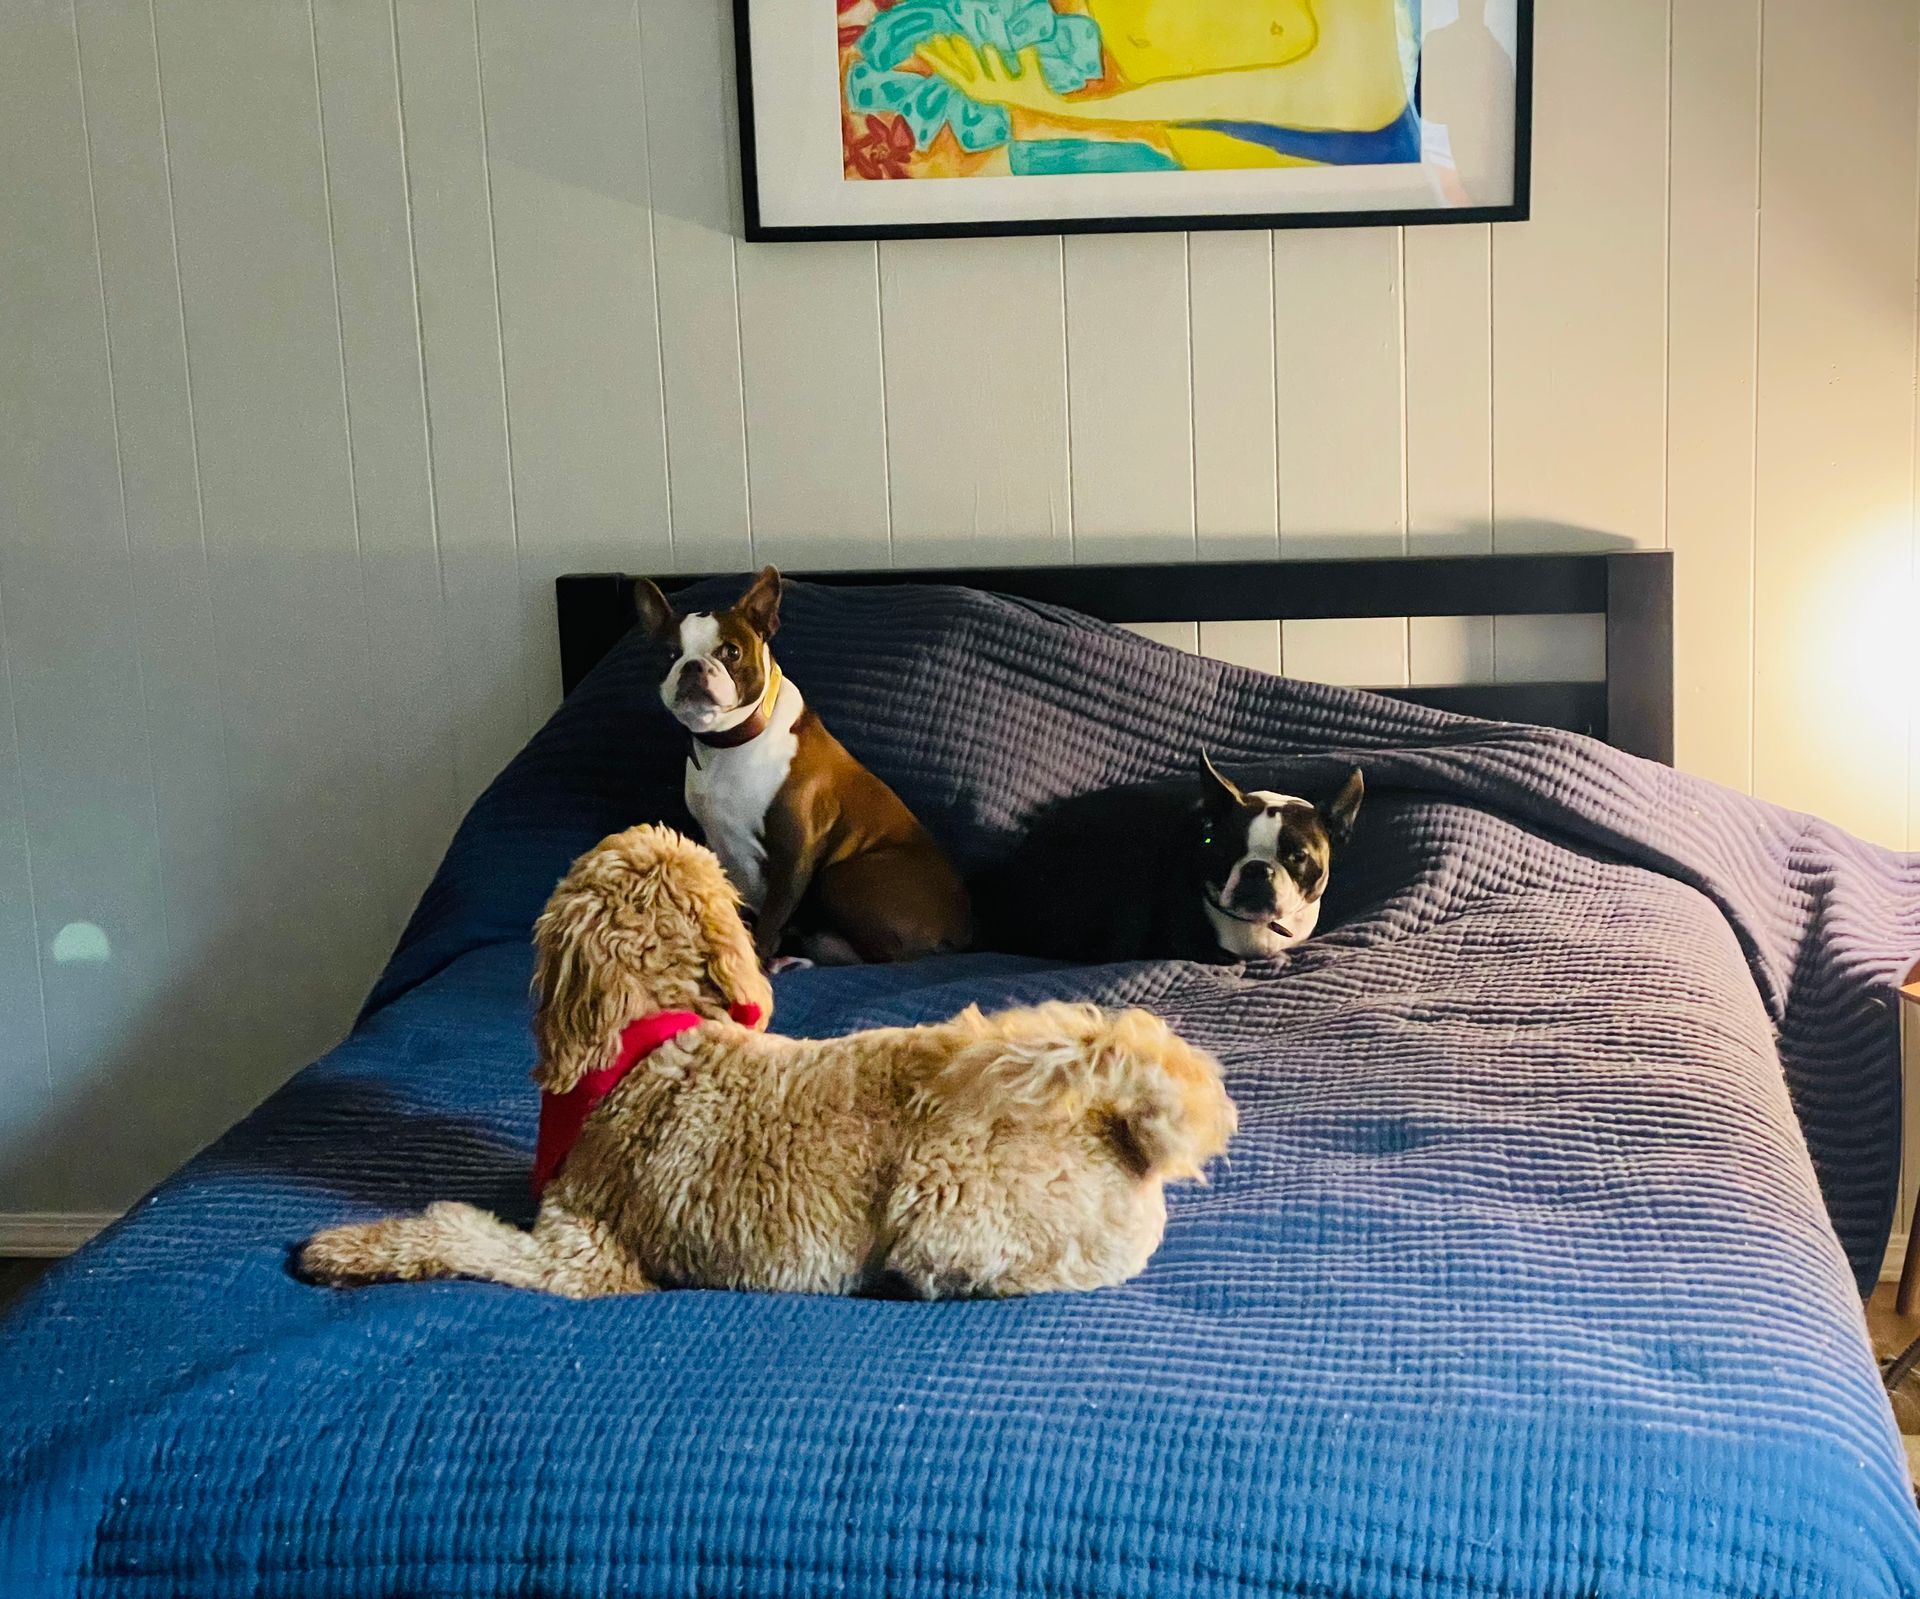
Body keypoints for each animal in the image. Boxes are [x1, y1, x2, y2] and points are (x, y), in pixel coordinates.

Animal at [299, 821, 1228, 1297]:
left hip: (941, 1210)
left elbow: (454, 1229)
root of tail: (1121, 1123)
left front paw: (348, 1247)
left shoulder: (582, 1257)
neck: (652, 1035)